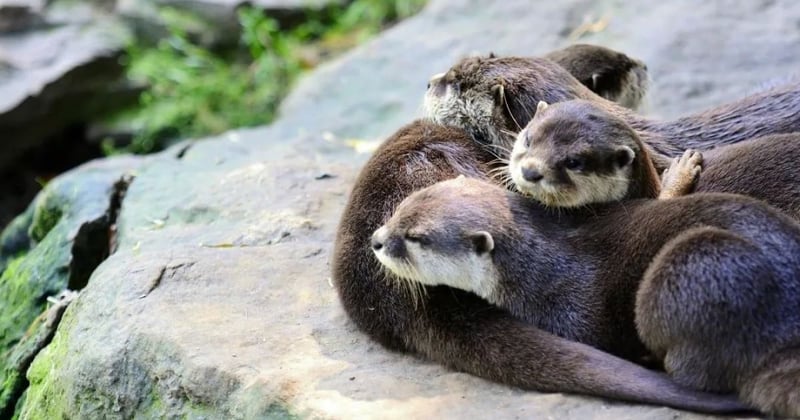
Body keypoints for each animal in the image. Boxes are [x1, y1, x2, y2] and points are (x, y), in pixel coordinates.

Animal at [373, 175, 800, 417]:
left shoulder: (571, 310)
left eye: (416, 237)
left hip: (695, 265)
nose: (376, 240)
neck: (542, 267)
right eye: (400, 208)